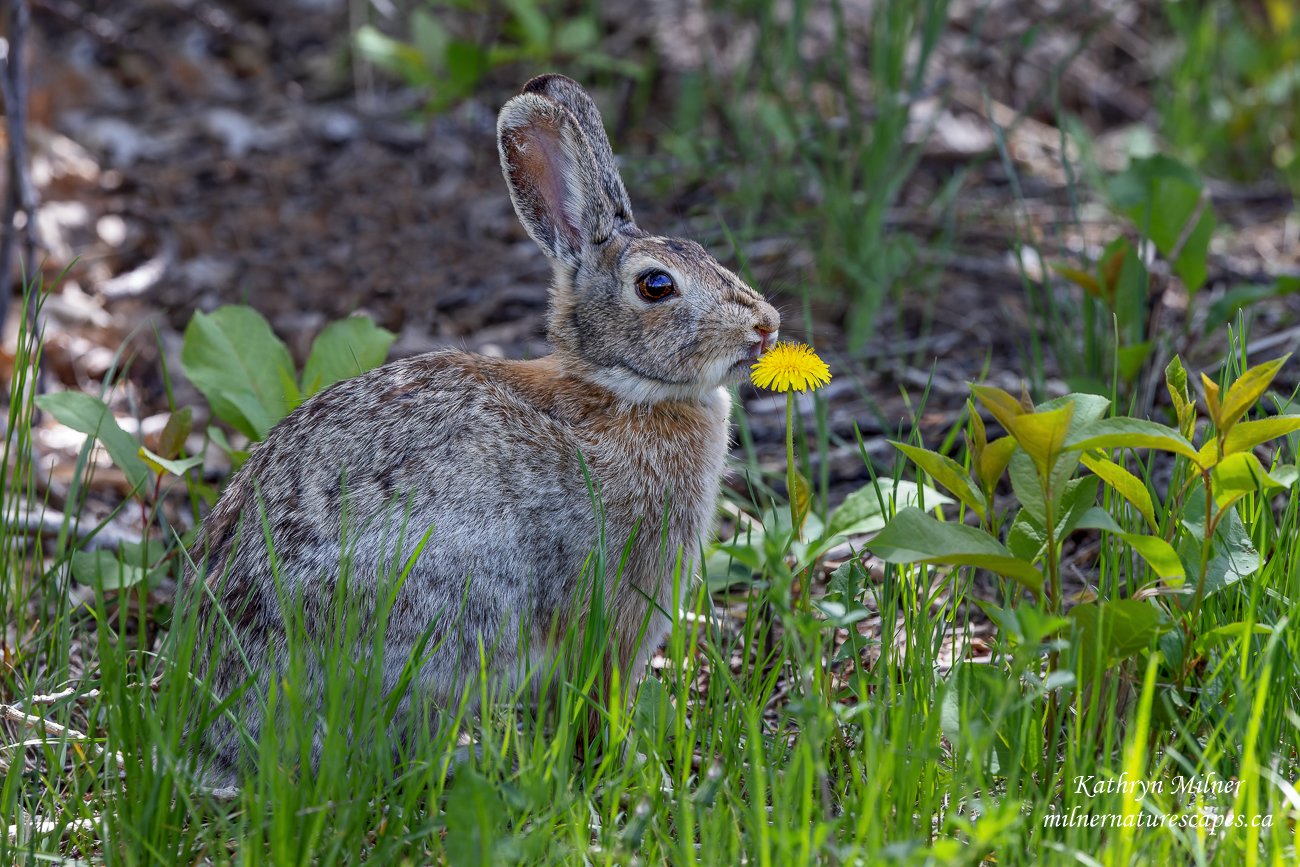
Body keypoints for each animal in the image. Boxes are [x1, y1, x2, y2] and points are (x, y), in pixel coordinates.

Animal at [182, 71, 769, 785]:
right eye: (656, 286)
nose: (765, 325)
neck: (617, 388)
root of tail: (226, 736)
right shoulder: (614, 609)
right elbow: (598, 695)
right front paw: (626, 764)